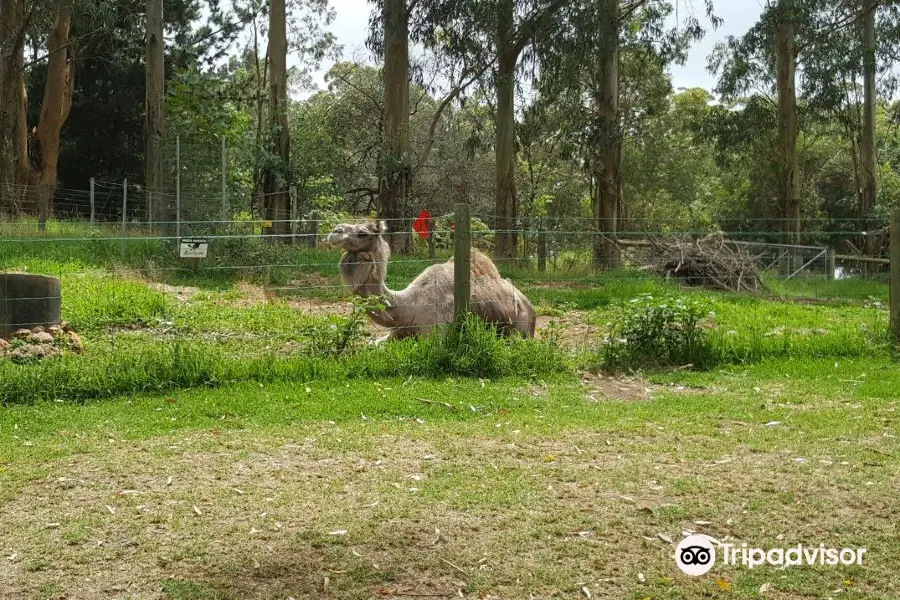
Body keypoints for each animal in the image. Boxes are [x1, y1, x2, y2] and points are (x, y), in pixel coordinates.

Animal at [326, 220, 536, 342]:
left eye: (363, 232)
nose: (335, 231)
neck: (409, 305)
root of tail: (529, 306)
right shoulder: (396, 332)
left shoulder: (438, 333)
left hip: (522, 329)